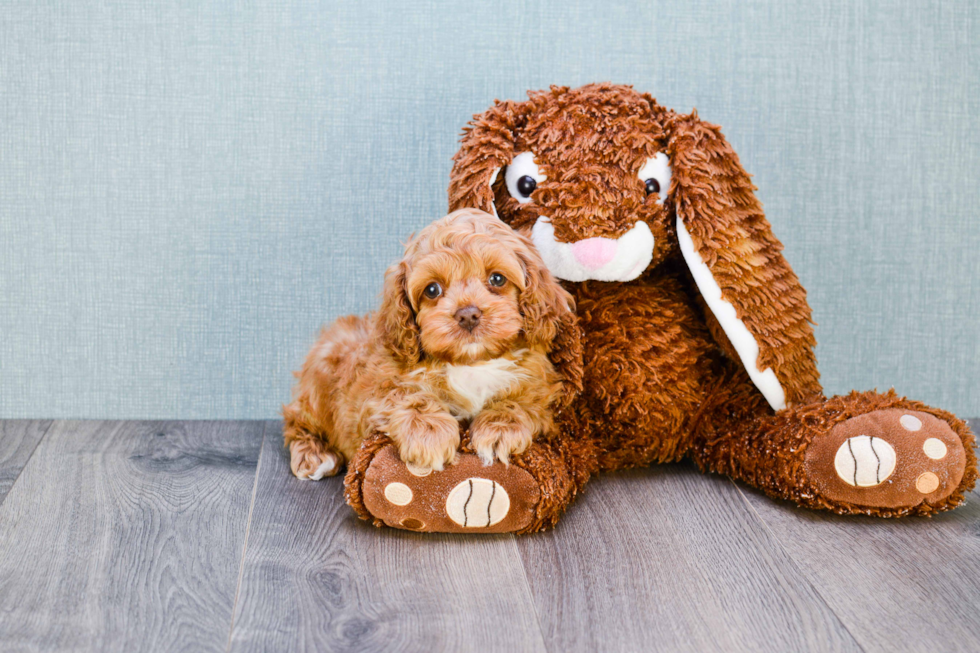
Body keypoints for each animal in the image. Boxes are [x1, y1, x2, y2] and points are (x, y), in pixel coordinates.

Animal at [282, 208, 576, 478]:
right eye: (432, 290)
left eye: (497, 279)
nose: (468, 315)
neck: (471, 362)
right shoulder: (375, 388)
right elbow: (407, 396)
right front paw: (430, 434)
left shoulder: (541, 382)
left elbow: (524, 398)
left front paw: (501, 428)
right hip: (319, 384)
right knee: (296, 420)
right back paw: (314, 454)